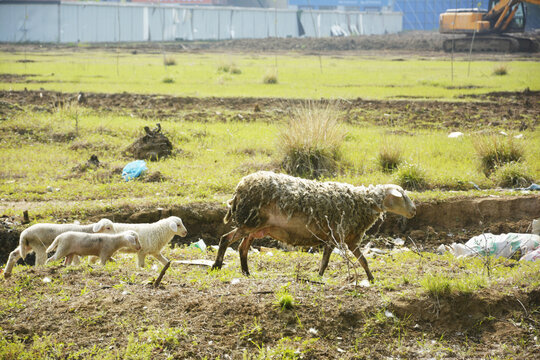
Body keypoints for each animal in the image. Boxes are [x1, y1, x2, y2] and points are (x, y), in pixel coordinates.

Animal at [212, 170, 418, 282]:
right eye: (402, 196)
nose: (414, 211)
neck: (363, 202)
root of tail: (239, 188)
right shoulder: (334, 235)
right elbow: (325, 261)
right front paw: (319, 277)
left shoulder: (350, 239)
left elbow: (363, 261)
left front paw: (371, 278)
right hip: (250, 222)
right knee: (225, 239)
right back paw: (216, 266)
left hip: (255, 226)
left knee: (242, 247)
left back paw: (246, 272)